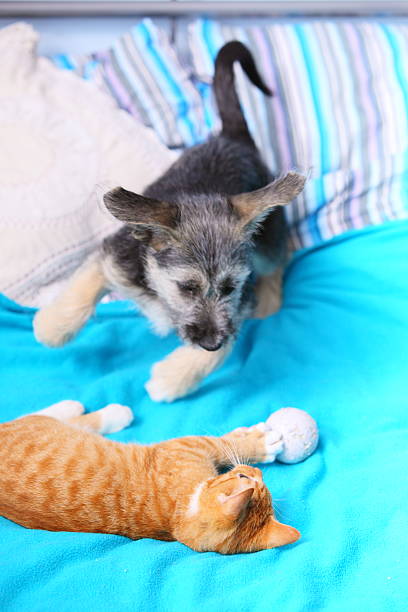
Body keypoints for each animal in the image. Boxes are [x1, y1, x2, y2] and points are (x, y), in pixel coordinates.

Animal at [0, 402, 300, 556]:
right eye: (242, 475)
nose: (259, 472)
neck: (176, 515)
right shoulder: (189, 445)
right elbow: (223, 442)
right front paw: (258, 442)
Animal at [33, 41, 304, 402]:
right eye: (187, 287)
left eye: (230, 287)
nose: (210, 341)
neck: (158, 290)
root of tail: (233, 138)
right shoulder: (116, 256)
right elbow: (83, 288)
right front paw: (53, 327)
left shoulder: (235, 310)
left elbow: (220, 349)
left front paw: (171, 378)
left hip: (268, 240)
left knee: (279, 258)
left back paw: (269, 302)